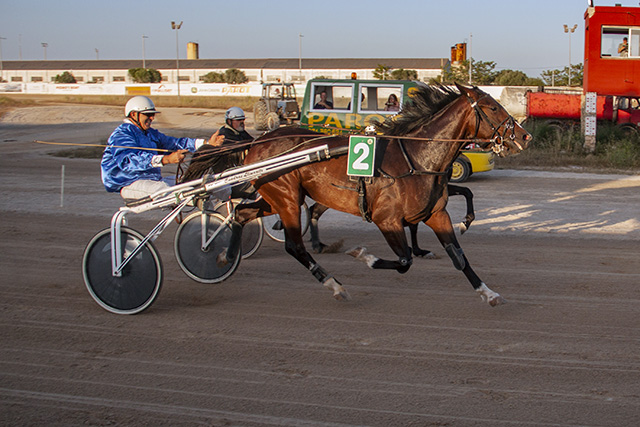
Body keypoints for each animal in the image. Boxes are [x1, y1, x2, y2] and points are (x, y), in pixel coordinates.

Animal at [189, 83, 531, 306]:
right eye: (493, 107)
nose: (525, 135)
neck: (416, 158)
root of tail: (257, 142)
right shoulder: (386, 220)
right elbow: (404, 260)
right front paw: (363, 255)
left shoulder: (436, 214)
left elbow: (459, 257)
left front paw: (488, 292)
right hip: (285, 198)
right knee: (294, 245)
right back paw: (334, 284)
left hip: (279, 197)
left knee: (243, 212)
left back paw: (226, 255)